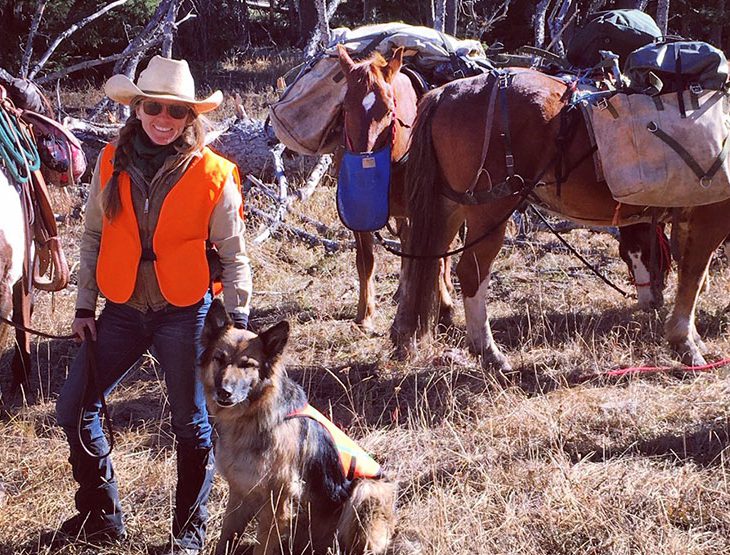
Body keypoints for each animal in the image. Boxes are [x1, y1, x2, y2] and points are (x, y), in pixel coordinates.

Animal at [199, 300, 396, 555]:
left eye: (247, 365)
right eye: (219, 359)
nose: (224, 392)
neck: (253, 417)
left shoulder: (277, 504)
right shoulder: (239, 493)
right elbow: (226, 538)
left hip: (366, 490)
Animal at [336, 45, 456, 330]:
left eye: (389, 108)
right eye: (345, 107)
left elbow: (428, 257)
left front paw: (441, 307)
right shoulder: (360, 216)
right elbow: (366, 262)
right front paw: (365, 315)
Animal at [392, 69, 728, 372]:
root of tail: (445, 92)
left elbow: (693, 275)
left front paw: (693, 338)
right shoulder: (711, 217)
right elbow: (693, 277)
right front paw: (685, 343)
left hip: (449, 208)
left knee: (423, 262)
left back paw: (405, 337)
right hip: (490, 212)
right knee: (471, 273)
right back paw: (489, 352)